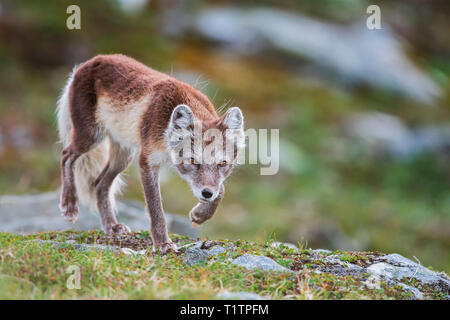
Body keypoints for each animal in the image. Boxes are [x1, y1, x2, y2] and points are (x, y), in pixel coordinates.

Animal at [58, 55, 246, 255]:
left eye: (222, 163)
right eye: (192, 161)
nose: (206, 193)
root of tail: (92, 60)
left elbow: (222, 189)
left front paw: (200, 215)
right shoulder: (147, 161)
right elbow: (156, 209)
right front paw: (163, 244)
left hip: (124, 156)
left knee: (99, 184)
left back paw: (111, 226)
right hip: (91, 136)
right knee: (66, 155)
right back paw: (69, 205)